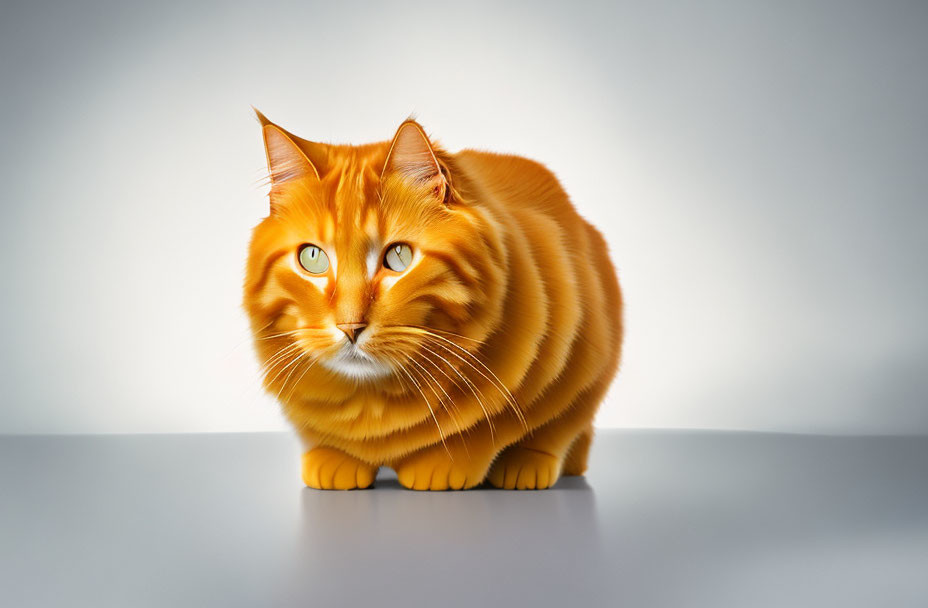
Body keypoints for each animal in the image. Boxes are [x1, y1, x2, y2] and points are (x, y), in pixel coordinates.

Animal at [245, 110, 624, 490]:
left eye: (399, 256)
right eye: (312, 258)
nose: (350, 326)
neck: (373, 401)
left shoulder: (581, 358)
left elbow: (517, 427)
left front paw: (446, 464)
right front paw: (335, 459)